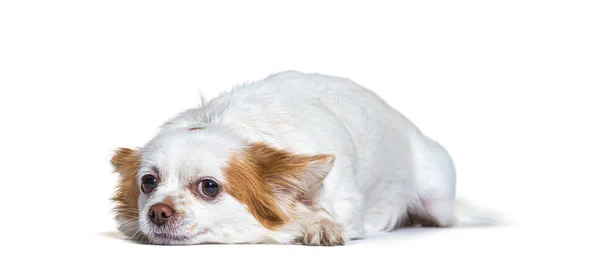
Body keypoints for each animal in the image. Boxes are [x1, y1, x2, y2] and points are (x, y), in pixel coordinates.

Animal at [110, 71, 458, 245]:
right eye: (148, 183)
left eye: (209, 187)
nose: (158, 212)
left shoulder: (346, 200)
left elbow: (331, 214)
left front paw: (319, 225)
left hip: (440, 202)